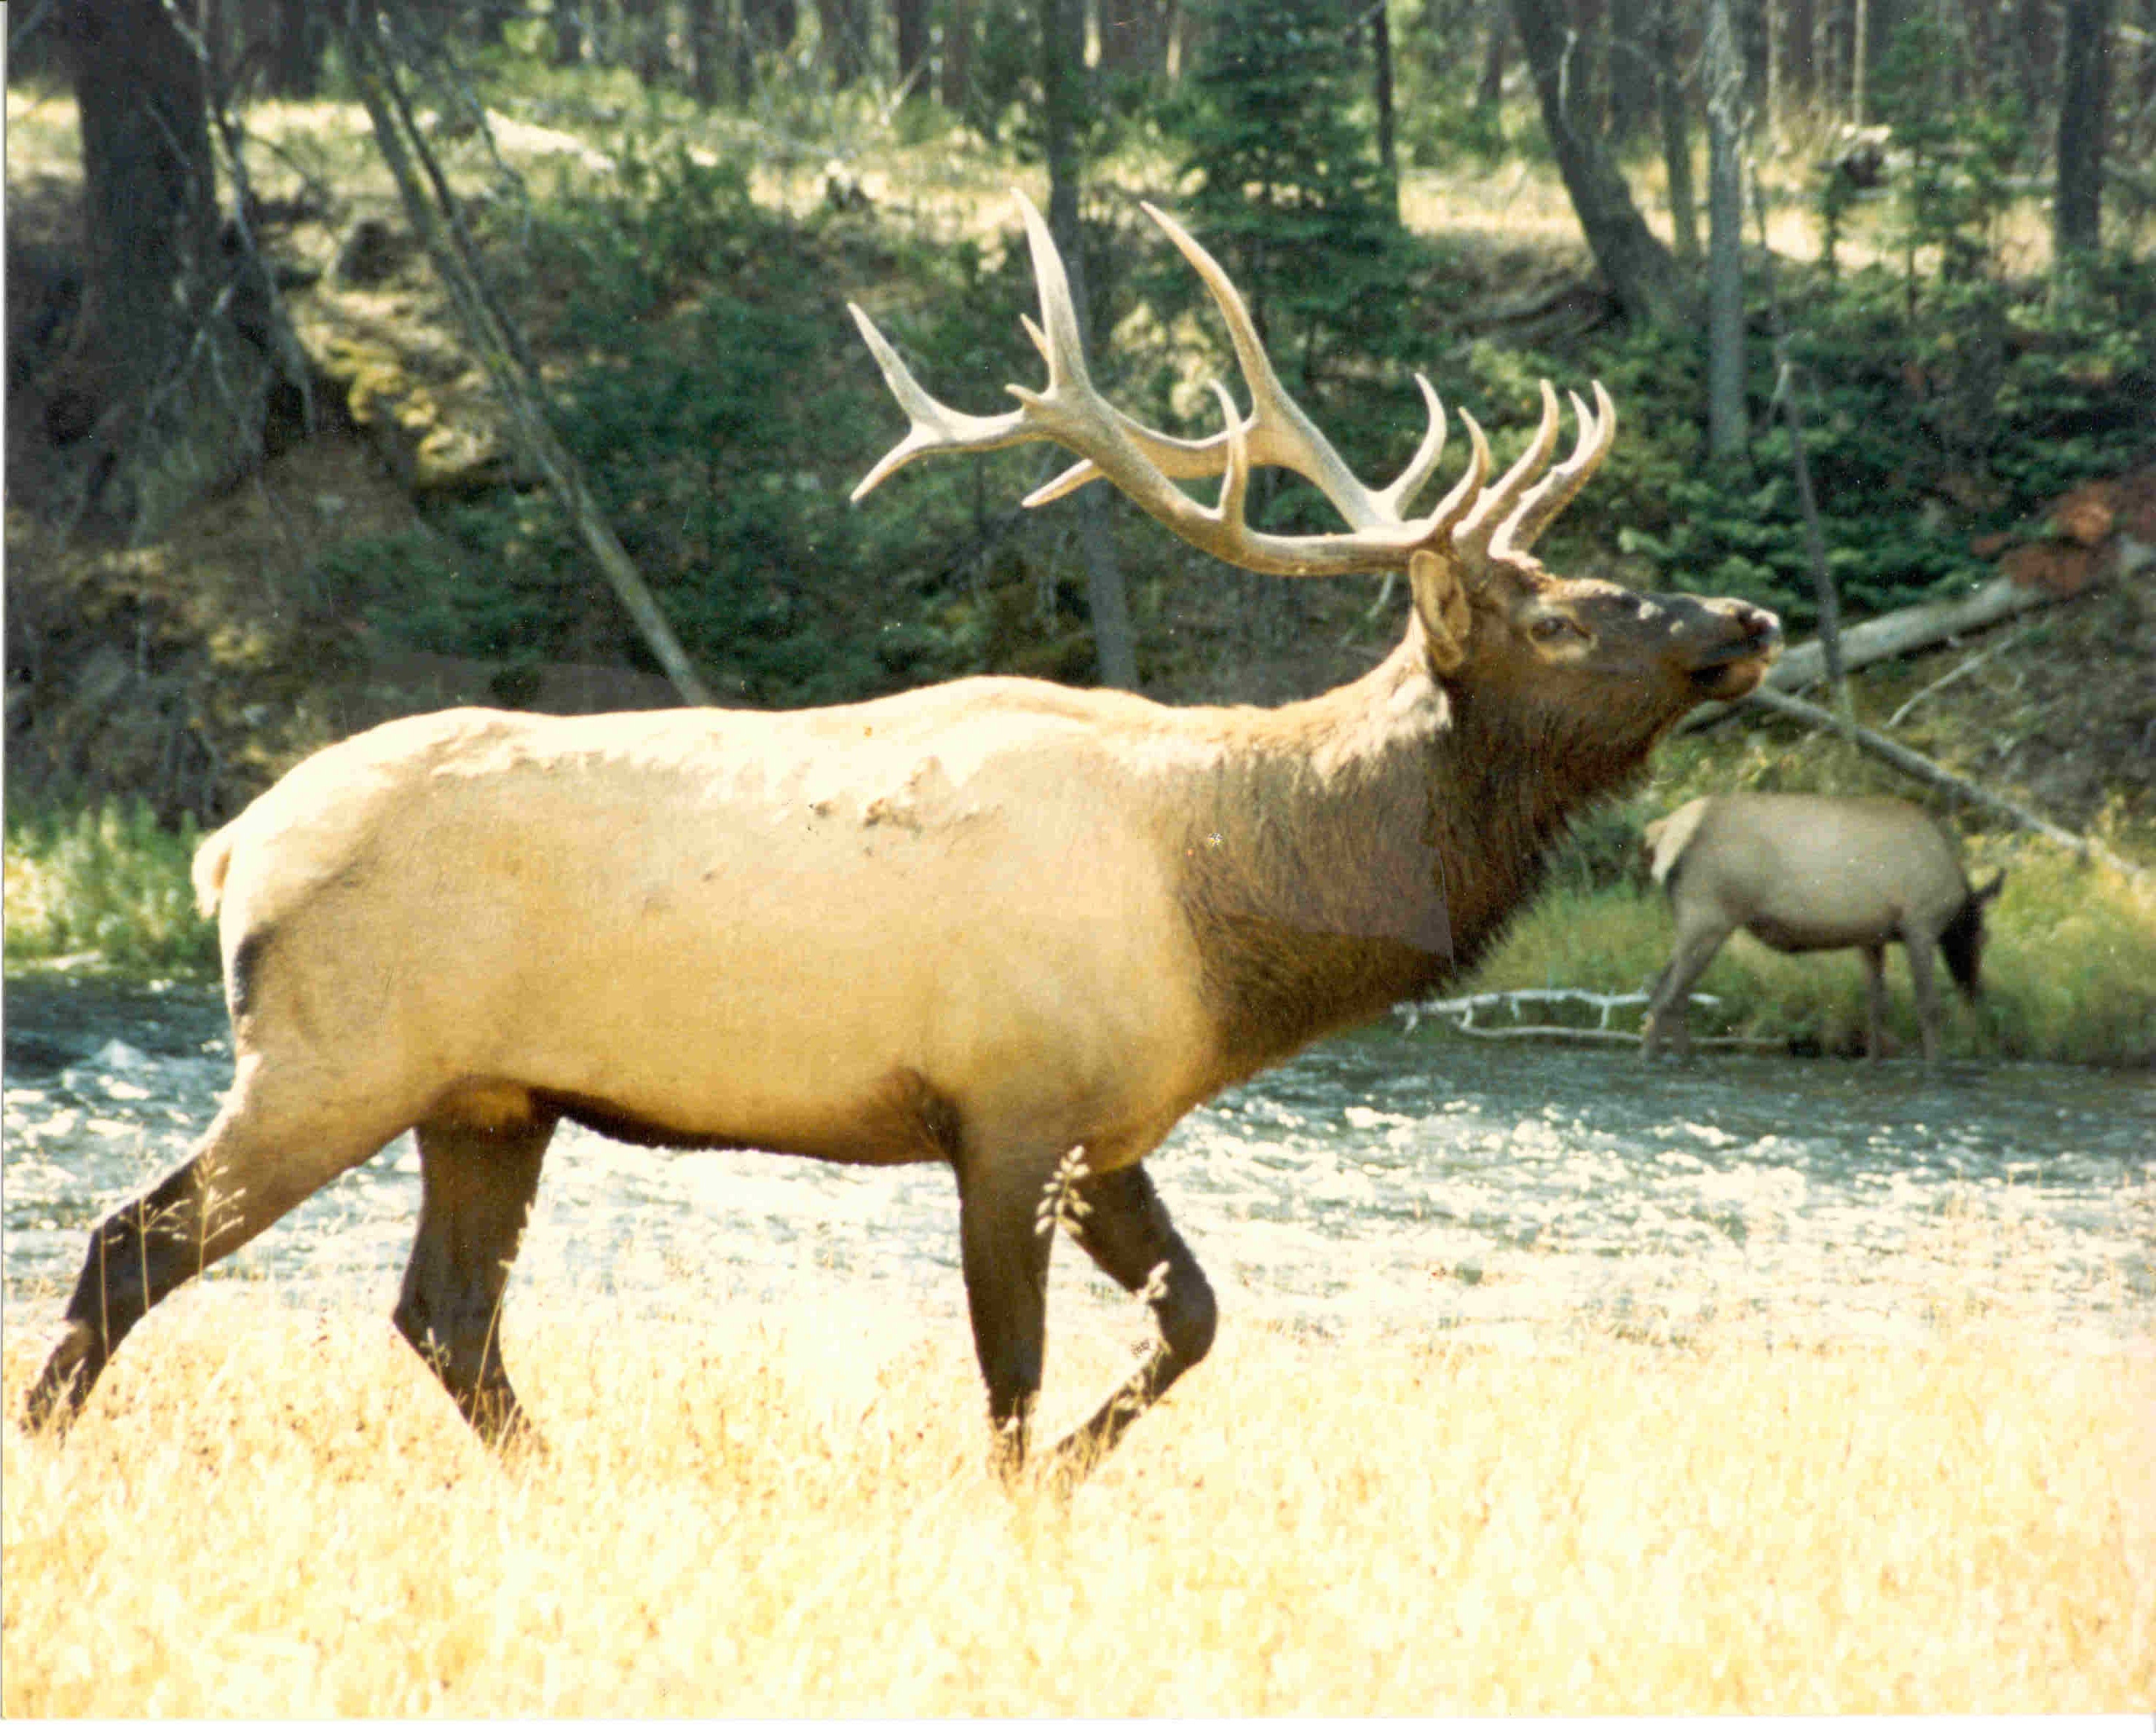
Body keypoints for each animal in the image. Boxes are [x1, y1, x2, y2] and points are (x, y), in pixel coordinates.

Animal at [25, 196, 1785, 1483]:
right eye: (1559, 617)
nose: (1746, 619)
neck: (1237, 914)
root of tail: (229, 845)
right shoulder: (1004, 1107)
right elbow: (1011, 1368)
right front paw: (1011, 1492)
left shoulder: (1111, 1125)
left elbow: (1196, 1321)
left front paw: (1068, 1477)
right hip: (332, 1058)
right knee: (132, 1242)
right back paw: (50, 1444)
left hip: (486, 1096)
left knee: (443, 1312)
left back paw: (563, 1475)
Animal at [1647, 797, 2000, 1065]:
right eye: (1985, 938)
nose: (1978, 991)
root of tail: (1664, 831)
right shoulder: (1920, 924)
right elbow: (1928, 1006)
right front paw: (1935, 1066)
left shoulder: (1872, 939)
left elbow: (1876, 1007)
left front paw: (1873, 1062)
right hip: (1708, 916)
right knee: (1667, 996)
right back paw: (1654, 1061)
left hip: (1696, 921)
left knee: (1666, 990)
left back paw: (1682, 1058)